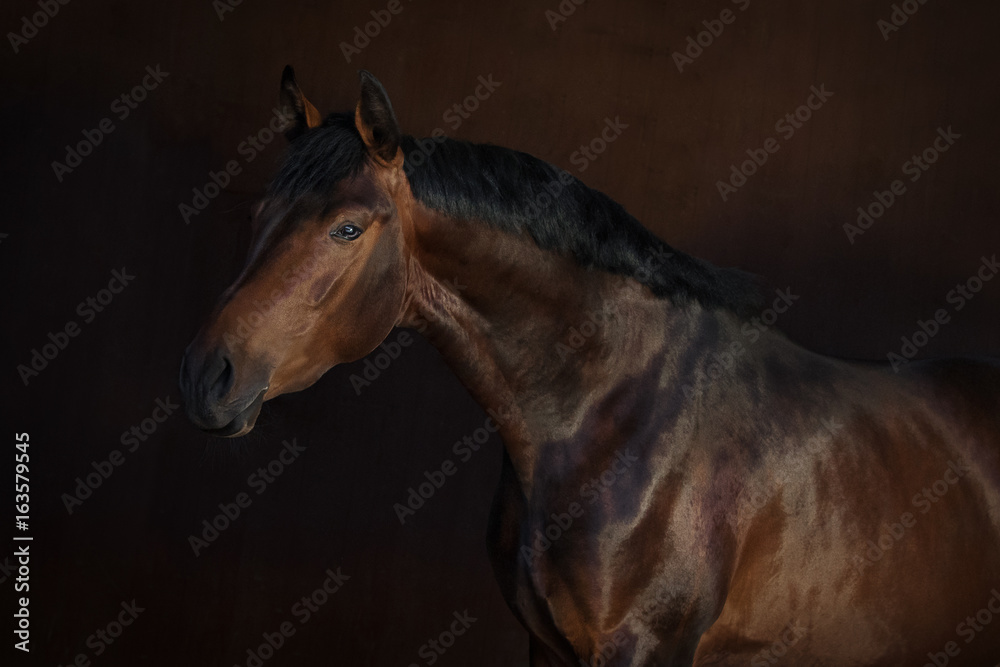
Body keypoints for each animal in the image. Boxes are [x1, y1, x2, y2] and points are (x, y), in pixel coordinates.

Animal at [179, 67, 1000, 666]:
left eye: (348, 228)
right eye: (258, 215)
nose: (207, 378)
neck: (611, 417)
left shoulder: (642, 651)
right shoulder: (547, 647)